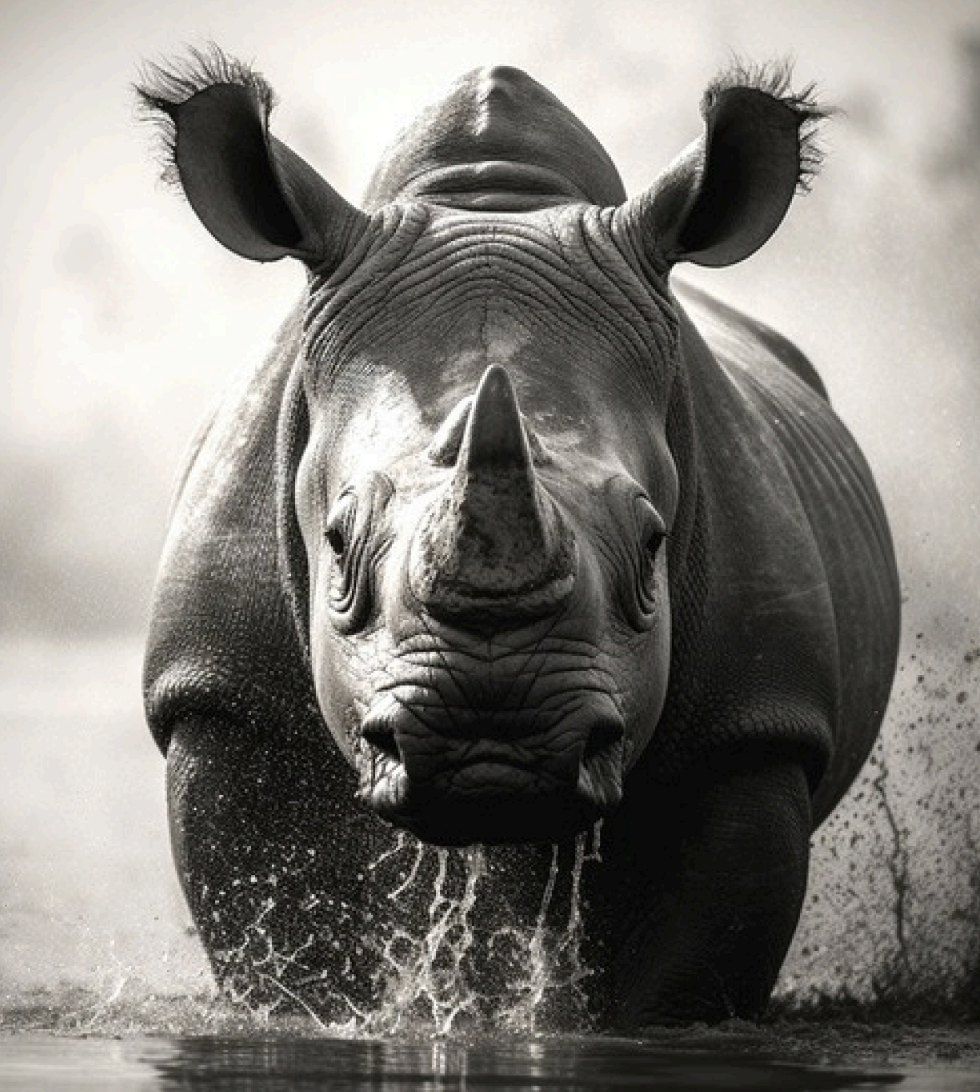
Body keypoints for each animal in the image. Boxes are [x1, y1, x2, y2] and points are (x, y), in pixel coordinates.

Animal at [138, 48, 900, 1027]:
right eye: (338, 545)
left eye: (652, 546)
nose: (490, 748)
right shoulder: (219, 696)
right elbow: (288, 954)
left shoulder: (757, 730)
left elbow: (683, 979)